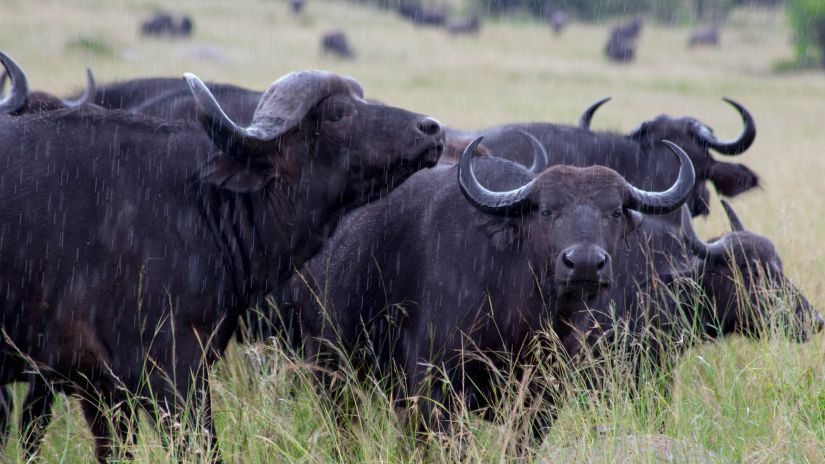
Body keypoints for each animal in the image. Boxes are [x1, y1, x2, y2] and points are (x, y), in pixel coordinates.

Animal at [286, 137, 692, 442]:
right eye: (547, 211)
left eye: (615, 211)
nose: (585, 263)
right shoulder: (436, 386)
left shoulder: (543, 397)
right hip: (329, 366)